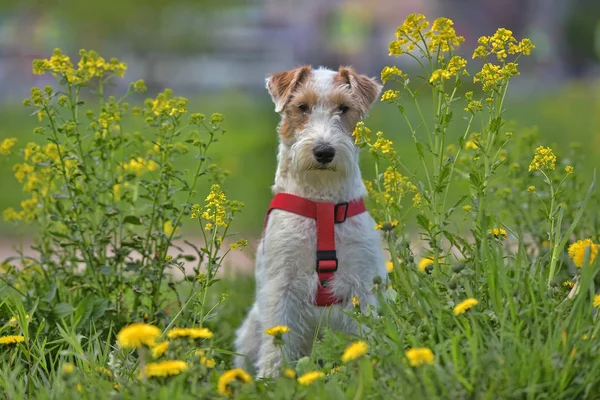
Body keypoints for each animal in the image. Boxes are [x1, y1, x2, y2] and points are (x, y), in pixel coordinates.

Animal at [232, 65, 386, 378]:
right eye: (302, 107)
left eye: (344, 108)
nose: (324, 151)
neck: (322, 204)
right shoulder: (281, 283)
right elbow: (276, 340)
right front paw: (272, 379)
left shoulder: (363, 284)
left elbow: (364, 331)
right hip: (250, 328)